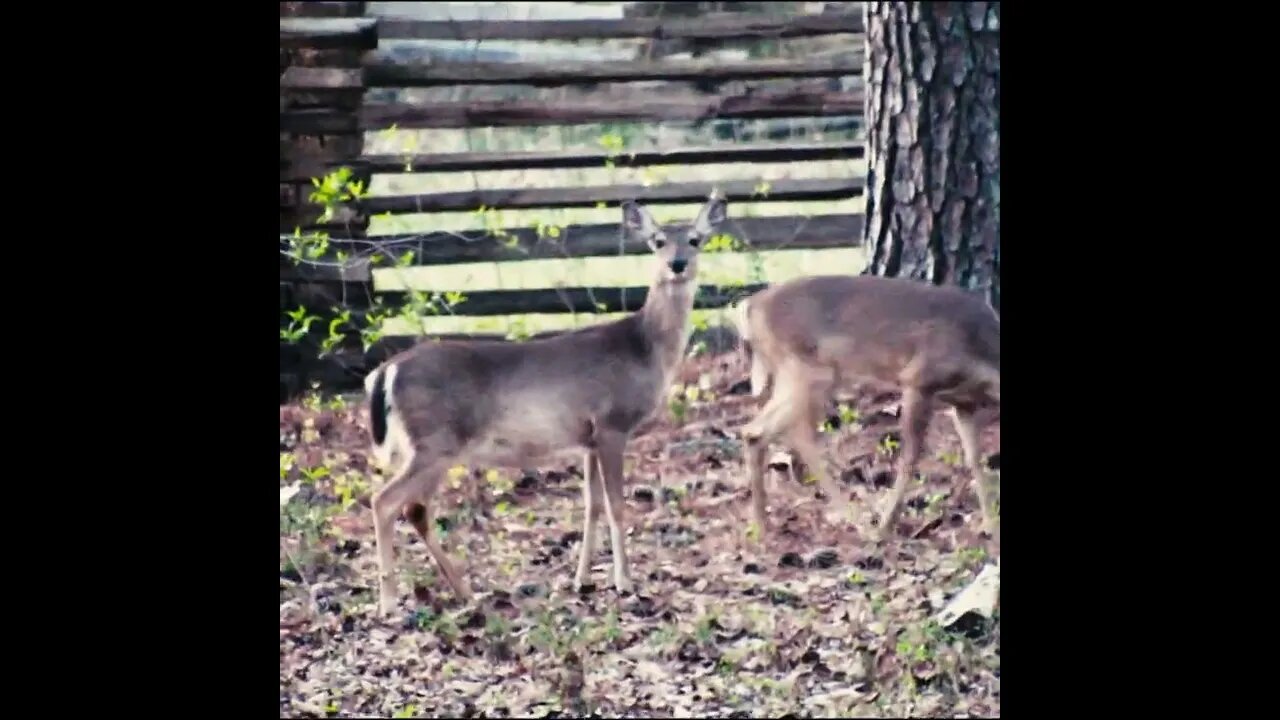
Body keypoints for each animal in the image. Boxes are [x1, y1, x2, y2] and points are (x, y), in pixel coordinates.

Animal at [360, 192, 727, 617]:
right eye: (658, 241)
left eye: (696, 239)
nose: (677, 264)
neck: (644, 347)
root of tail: (384, 372)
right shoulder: (613, 424)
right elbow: (617, 506)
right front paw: (625, 581)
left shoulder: (588, 437)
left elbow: (592, 505)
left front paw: (582, 580)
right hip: (434, 442)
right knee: (383, 501)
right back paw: (389, 602)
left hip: (427, 447)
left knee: (414, 509)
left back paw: (465, 592)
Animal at [732, 274, 998, 543]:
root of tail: (748, 307)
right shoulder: (918, 379)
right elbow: (910, 458)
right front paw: (886, 526)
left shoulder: (963, 404)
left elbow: (975, 459)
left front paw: (989, 524)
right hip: (808, 370)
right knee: (771, 432)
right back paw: (858, 522)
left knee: (768, 433)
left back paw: (761, 526)